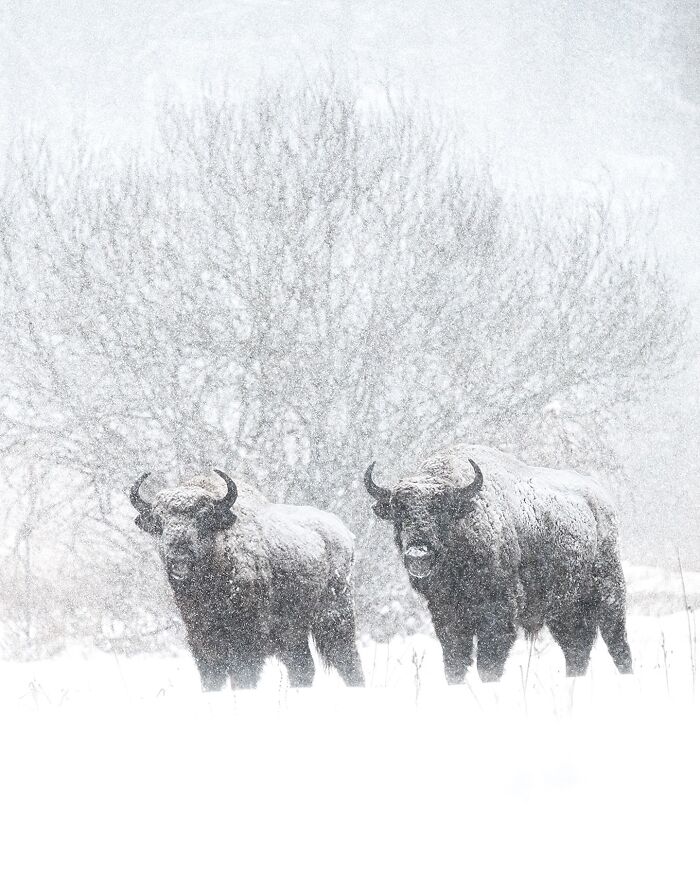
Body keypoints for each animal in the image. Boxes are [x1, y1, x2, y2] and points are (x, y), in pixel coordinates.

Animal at [130, 470, 364, 690]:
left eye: (203, 517)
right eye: (160, 521)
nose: (178, 556)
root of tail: (343, 531)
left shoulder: (246, 645)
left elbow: (242, 678)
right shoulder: (203, 643)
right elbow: (212, 680)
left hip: (334, 618)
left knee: (348, 662)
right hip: (293, 634)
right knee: (303, 667)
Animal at [364, 444, 633, 682]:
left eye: (442, 510)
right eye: (399, 512)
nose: (418, 554)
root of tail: (600, 500)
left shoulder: (499, 611)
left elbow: (488, 664)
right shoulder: (445, 613)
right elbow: (455, 662)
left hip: (609, 593)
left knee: (617, 644)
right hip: (565, 608)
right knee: (576, 648)